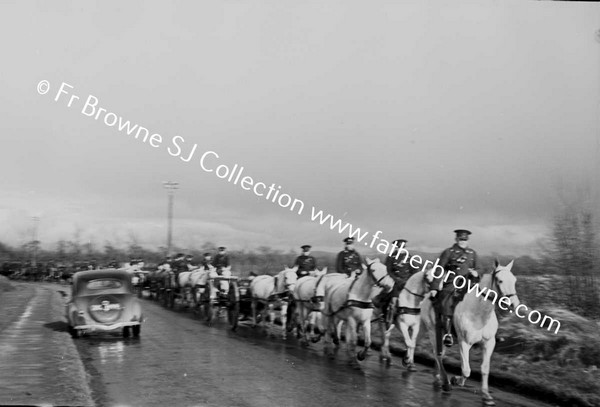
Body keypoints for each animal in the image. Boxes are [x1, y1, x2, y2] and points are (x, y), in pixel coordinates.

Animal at [422, 260, 520, 406]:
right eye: (500, 280)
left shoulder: (489, 344)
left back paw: (438, 379)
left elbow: (485, 369)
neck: (479, 313)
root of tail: (429, 296)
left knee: (439, 355)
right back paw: (446, 382)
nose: (514, 304)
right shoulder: (464, 343)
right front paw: (456, 380)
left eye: (514, 280)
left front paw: (486, 396)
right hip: (433, 332)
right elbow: (466, 370)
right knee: (437, 355)